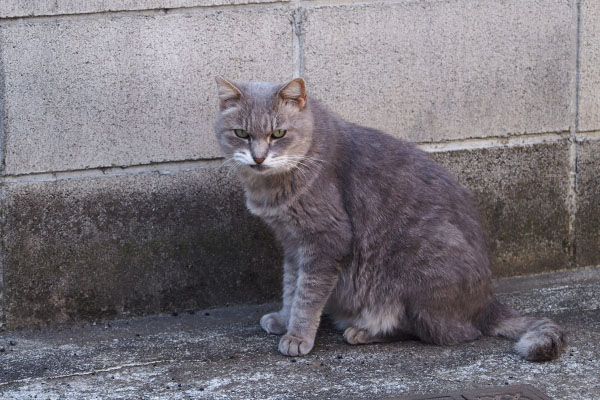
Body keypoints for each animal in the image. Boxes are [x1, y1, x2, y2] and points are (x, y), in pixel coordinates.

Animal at [214, 76, 568, 360]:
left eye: (278, 133)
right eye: (241, 133)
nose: (259, 157)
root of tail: (486, 302)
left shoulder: (326, 239)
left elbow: (307, 294)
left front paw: (298, 335)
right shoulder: (291, 243)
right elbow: (291, 285)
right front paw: (284, 318)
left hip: (417, 271)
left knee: (441, 332)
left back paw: (364, 331)